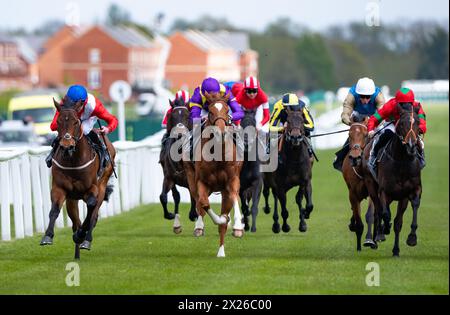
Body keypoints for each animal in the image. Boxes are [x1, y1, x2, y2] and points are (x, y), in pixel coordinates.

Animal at [39, 98, 115, 260]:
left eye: (76, 122)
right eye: (59, 121)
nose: (67, 146)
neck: (73, 160)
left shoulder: (92, 189)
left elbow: (91, 209)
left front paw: (81, 235)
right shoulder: (60, 188)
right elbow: (54, 210)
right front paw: (47, 236)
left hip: (102, 185)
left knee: (93, 215)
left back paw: (85, 240)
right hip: (72, 199)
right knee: (76, 221)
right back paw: (77, 250)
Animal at [160, 99, 199, 235]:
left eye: (188, 116)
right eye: (172, 115)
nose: (179, 133)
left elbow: (195, 198)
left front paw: (194, 217)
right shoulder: (169, 177)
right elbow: (164, 197)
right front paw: (171, 216)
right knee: (176, 196)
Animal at [184, 90, 244, 256]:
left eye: (227, 110)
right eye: (210, 112)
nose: (221, 133)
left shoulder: (232, 180)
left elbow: (235, 196)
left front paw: (237, 226)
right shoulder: (202, 182)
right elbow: (204, 204)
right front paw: (218, 220)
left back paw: (221, 252)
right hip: (191, 177)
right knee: (199, 202)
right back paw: (200, 227)